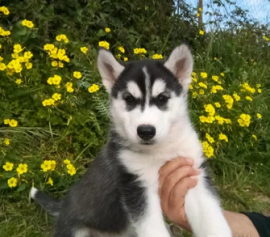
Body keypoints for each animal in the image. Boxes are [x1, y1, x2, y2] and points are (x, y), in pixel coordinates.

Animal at [30, 44, 232, 237]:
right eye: (129, 98)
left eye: (162, 98)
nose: (146, 131)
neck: (160, 150)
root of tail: (63, 206)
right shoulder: (135, 184)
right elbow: (153, 229)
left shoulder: (192, 172)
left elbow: (212, 219)